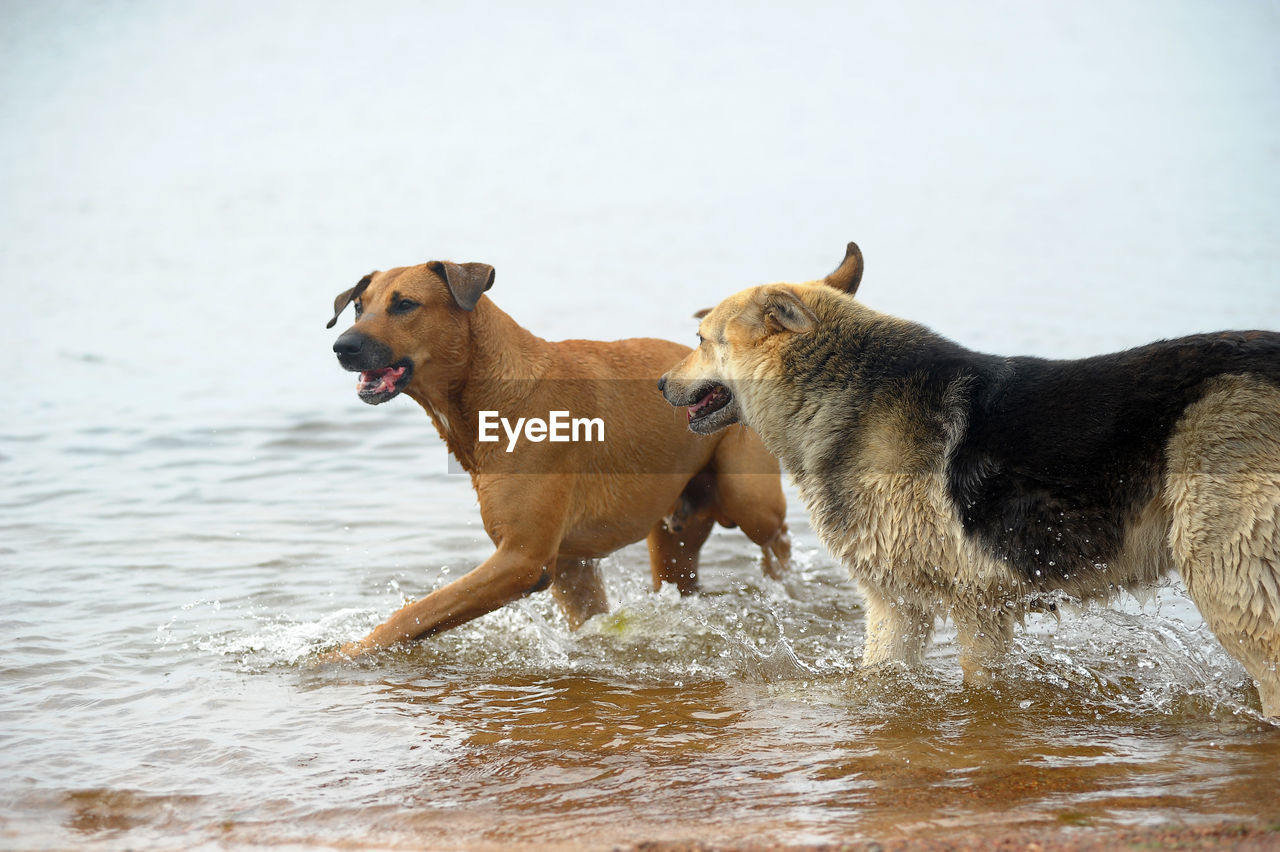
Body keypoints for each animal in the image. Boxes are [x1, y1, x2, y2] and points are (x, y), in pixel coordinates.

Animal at [320, 257, 788, 654]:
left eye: (405, 305)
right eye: (358, 307)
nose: (343, 346)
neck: (491, 393)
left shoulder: (522, 559)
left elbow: (417, 611)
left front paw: (343, 653)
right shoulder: (568, 564)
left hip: (748, 495)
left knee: (776, 537)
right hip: (673, 535)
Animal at [660, 241, 1280, 711]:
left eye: (701, 341)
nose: (661, 384)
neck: (841, 391)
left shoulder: (977, 605)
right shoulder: (896, 608)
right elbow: (877, 675)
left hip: (1229, 576)